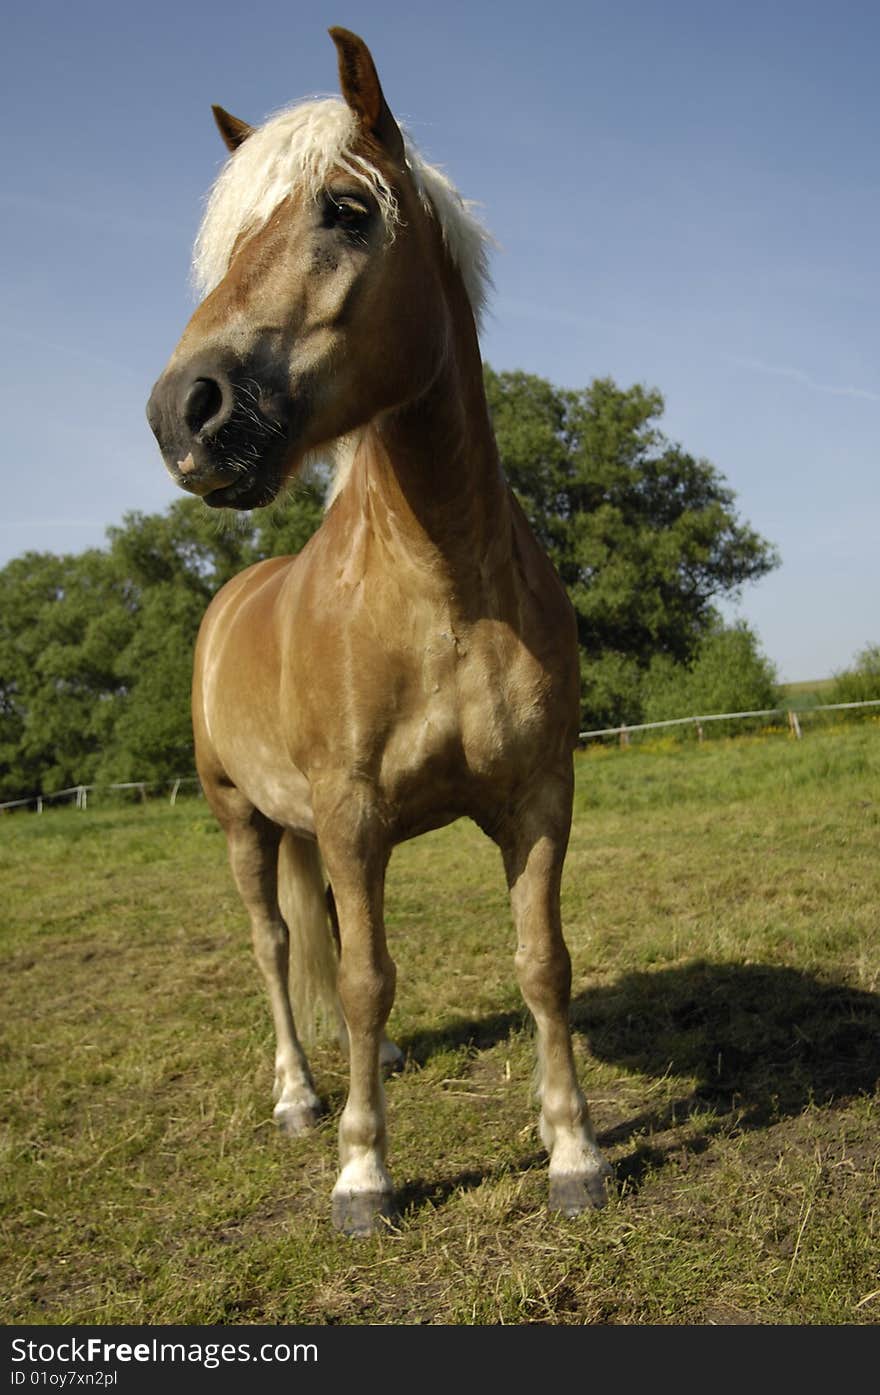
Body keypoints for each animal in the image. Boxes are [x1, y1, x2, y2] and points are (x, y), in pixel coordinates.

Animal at [146, 27, 613, 1238]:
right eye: (229, 242)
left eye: (347, 212)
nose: (184, 413)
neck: (440, 592)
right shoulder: (351, 817)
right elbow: (357, 977)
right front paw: (363, 1173)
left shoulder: (537, 800)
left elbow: (541, 964)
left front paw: (574, 1150)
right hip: (242, 821)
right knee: (274, 948)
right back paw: (302, 1098)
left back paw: (384, 1063)